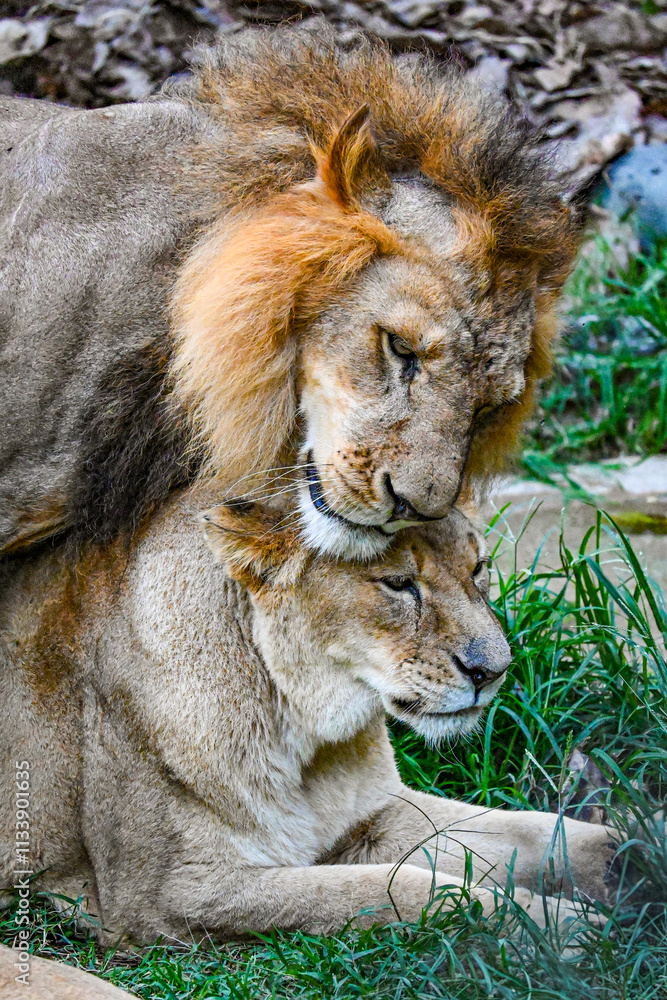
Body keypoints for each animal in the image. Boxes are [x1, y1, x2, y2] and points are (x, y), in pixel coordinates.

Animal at [0, 490, 617, 943]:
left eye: (479, 567)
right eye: (399, 584)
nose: (493, 670)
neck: (304, 738)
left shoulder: (372, 813)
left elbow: (528, 831)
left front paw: (627, 856)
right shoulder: (160, 895)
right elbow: (390, 890)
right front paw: (563, 927)